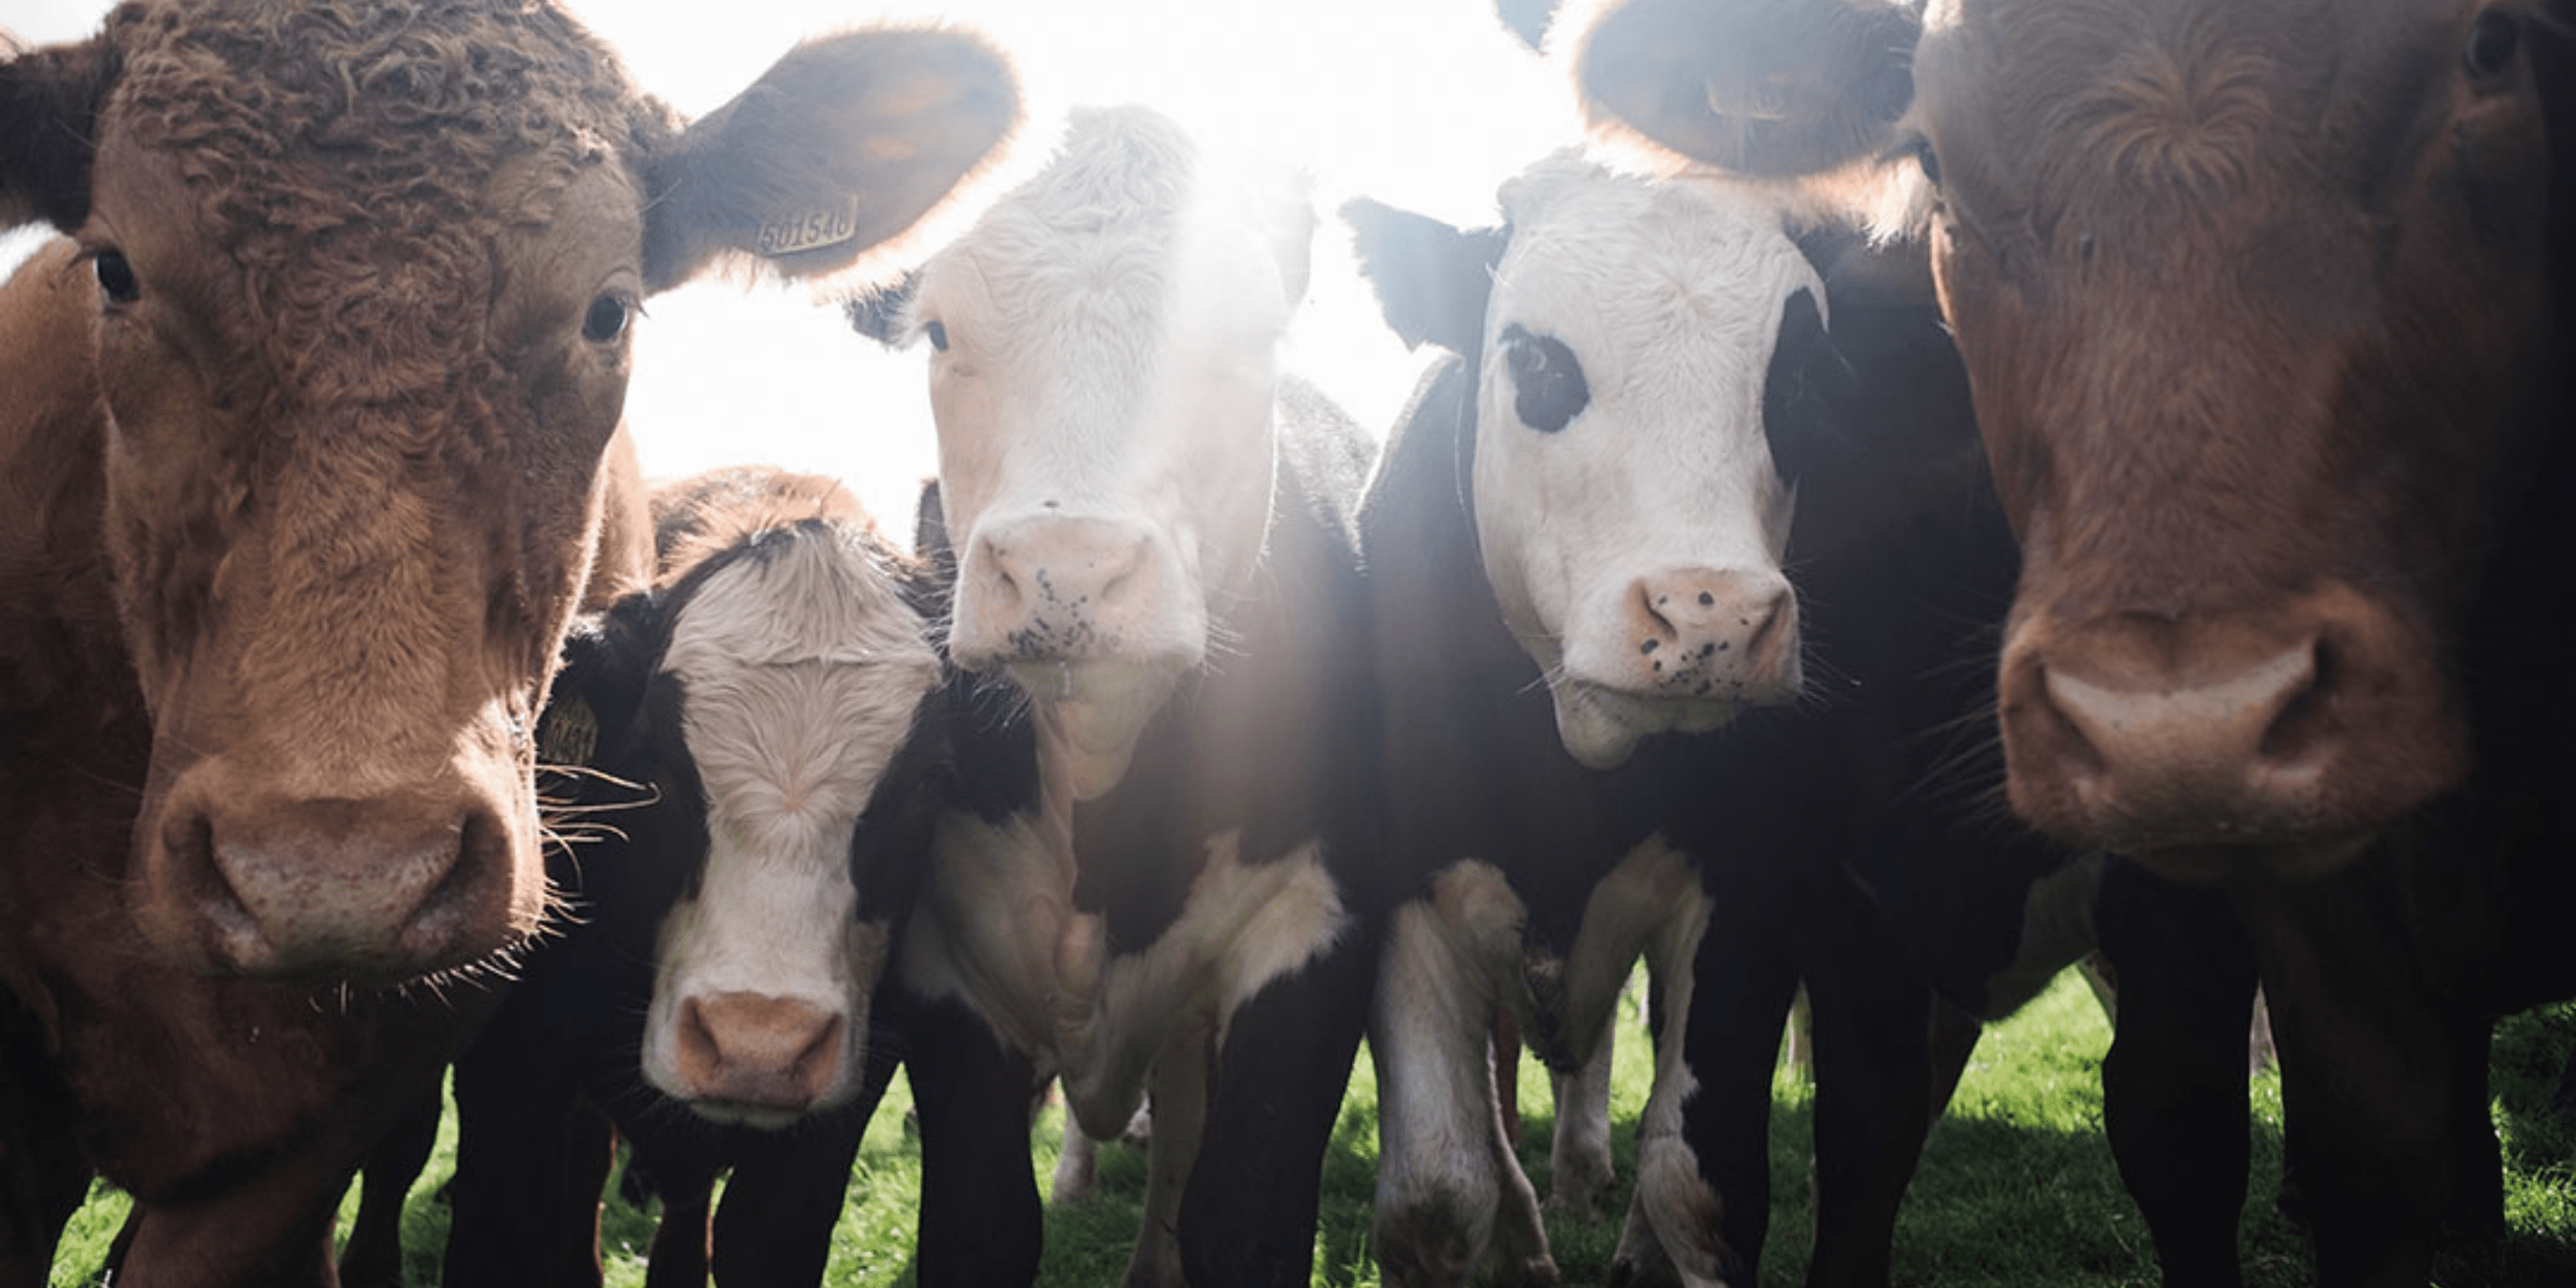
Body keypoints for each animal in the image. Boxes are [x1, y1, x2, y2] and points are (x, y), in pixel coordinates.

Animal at [850, 104, 1385, 1288]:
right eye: (940, 333)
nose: (1067, 570)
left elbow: (1239, 1218)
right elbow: (982, 1224)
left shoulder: (1313, 932)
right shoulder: (942, 964)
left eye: (1250, 337)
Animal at [1346, 149, 2060, 1288]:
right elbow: (1436, 1194)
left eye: (1803, 380)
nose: (1710, 612)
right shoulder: (1405, 884)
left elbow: (1701, 1183)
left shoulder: (1747, 890)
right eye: (1534, 360)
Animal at [1561, 0, 2576, 1282]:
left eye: (2491, 48)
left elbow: (2177, 1124)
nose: (2179, 722)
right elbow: (1863, 1129)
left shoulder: (2191, 912)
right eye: (1931, 154)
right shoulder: (1840, 884)